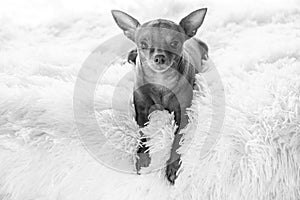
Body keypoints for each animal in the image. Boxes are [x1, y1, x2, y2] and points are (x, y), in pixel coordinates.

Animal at [111, 7, 207, 184]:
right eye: (143, 44)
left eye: (175, 43)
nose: (160, 57)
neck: (161, 80)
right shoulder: (141, 113)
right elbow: (142, 134)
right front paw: (142, 159)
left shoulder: (183, 117)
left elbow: (177, 142)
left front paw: (173, 167)